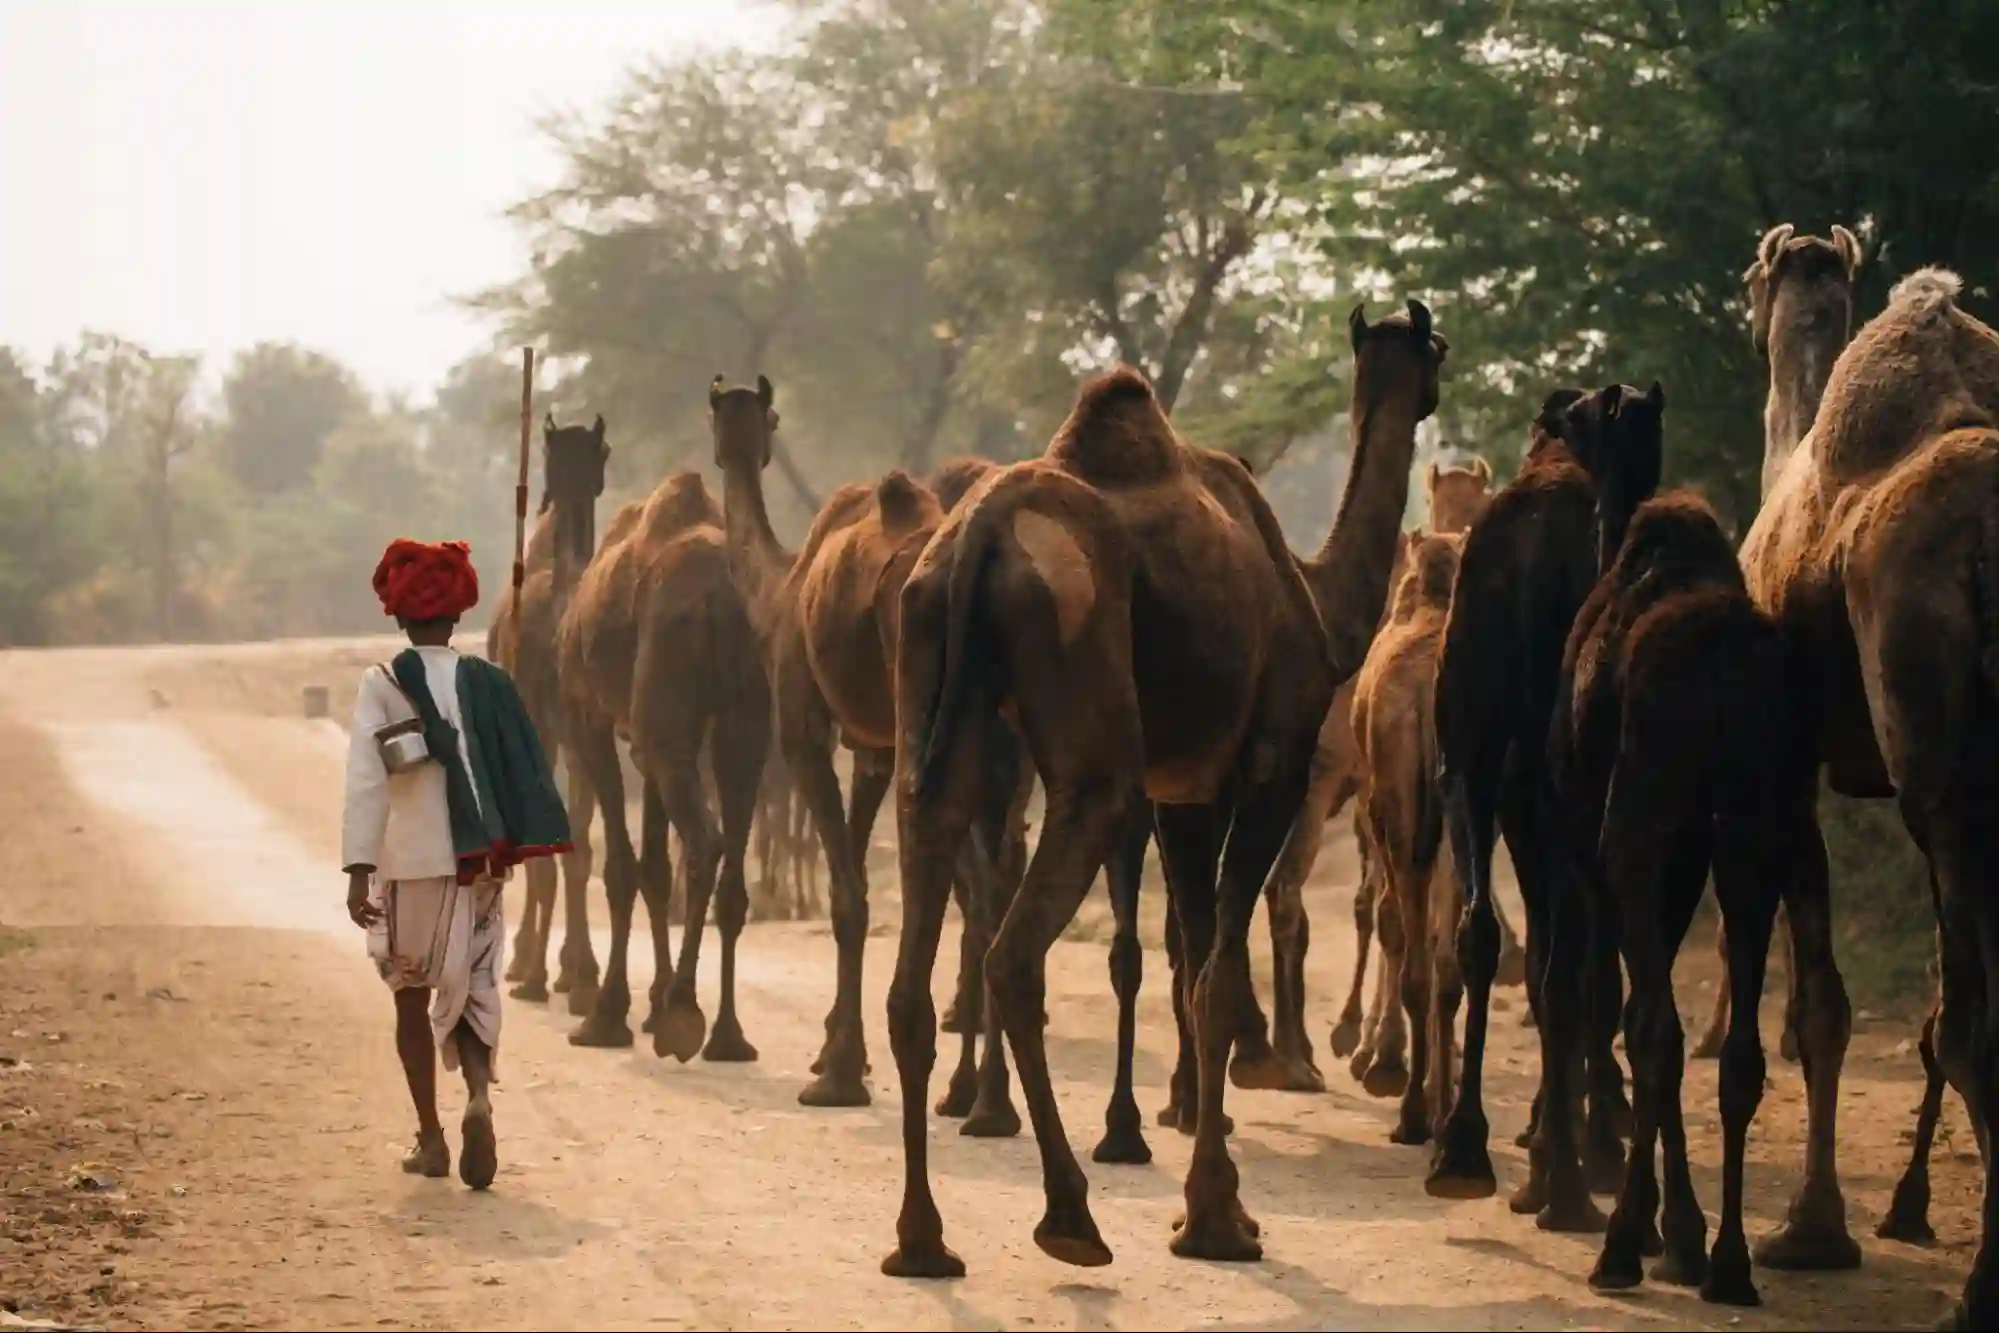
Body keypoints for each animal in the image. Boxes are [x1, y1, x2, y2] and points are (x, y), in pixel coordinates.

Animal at [557, 471, 771, 1064]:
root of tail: (721, 599)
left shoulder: (588, 715)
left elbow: (622, 868)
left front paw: (608, 1017)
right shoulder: (644, 737)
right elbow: (652, 868)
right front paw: (648, 1004)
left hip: (665, 701)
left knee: (705, 839)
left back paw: (682, 1013)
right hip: (745, 714)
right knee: (731, 862)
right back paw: (727, 1036)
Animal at [881, 301, 1442, 1278]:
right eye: (1435, 347)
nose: (1436, 383)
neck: (1317, 601)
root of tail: (978, 539)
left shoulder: (1185, 793)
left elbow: (1191, 964)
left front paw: (1207, 1181)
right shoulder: (1268, 766)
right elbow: (1214, 973)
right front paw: (1217, 1217)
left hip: (931, 691)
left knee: (918, 938)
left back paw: (923, 1240)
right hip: (1091, 734)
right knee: (1014, 952)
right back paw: (1070, 1216)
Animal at [1426, 383, 1662, 1232]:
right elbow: (1583, 969)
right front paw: (1590, 1135)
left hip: (1478, 760)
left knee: (1485, 933)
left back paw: (1464, 1151)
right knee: (1567, 965)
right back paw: (1562, 1178)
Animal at [1552, 490, 1799, 1306]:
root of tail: (1721, 664)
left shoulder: (1601, 857)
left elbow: (1623, 1009)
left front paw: (1666, 1232)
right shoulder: (1689, 863)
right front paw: (1685, 1236)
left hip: (1635, 827)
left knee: (1655, 1027)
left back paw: (1622, 1249)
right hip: (1757, 830)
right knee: (1740, 1052)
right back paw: (1732, 1264)